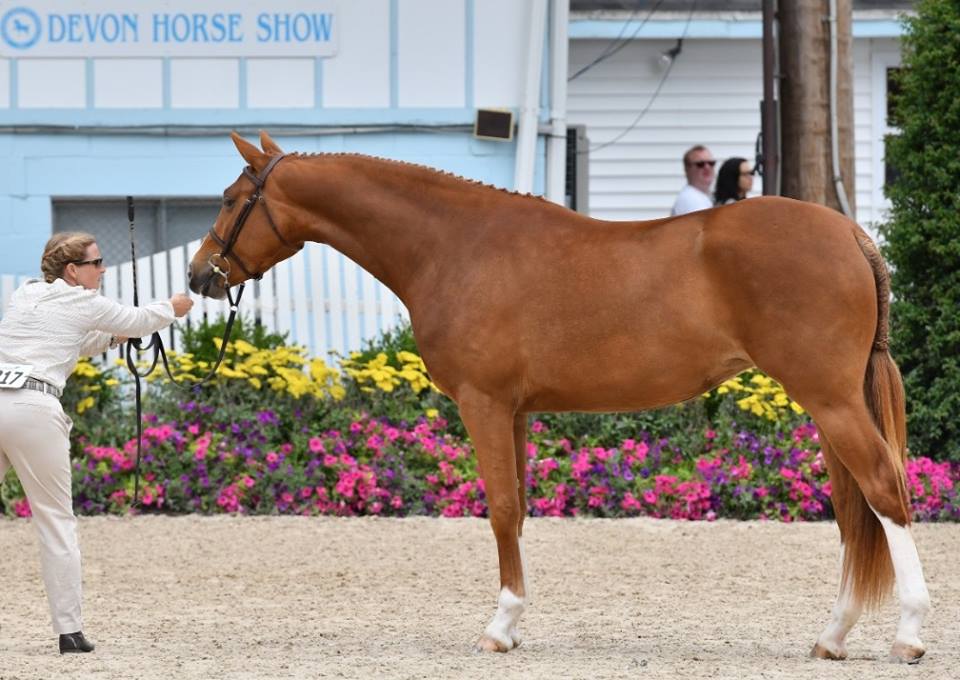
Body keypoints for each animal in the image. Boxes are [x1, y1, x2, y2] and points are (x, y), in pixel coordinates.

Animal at [188, 131, 929, 662]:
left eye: (227, 197)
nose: (198, 275)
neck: (454, 247)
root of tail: (850, 233)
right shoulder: (515, 411)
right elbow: (517, 510)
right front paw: (514, 624)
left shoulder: (484, 404)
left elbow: (500, 510)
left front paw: (499, 626)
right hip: (828, 405)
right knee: (854, 511)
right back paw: (833, 637)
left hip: (829, 399)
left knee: (885, 491)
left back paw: (909, 636)